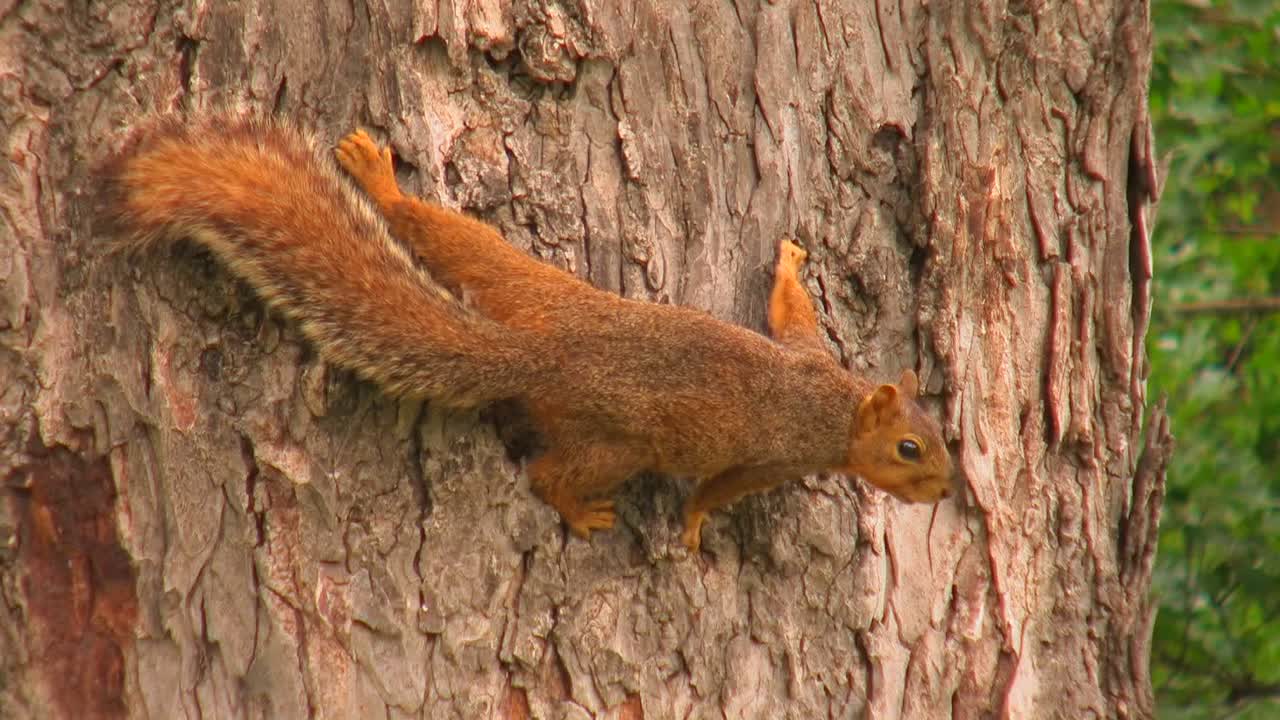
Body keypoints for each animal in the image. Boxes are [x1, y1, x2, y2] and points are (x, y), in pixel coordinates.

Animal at [99, 113, 955, 552]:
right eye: (910, 449)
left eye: (941, 437)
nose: (946, 491)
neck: (837, 405)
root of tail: (541, 353)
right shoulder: (776, 454)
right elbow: (719, 487)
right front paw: (694, 524)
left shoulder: (807, 353)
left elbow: (789, 312)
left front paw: (789, 259)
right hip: (613, 443)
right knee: (548, 475)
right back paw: (578, 512)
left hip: (525, 284)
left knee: (447, 238)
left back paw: (378, 182)